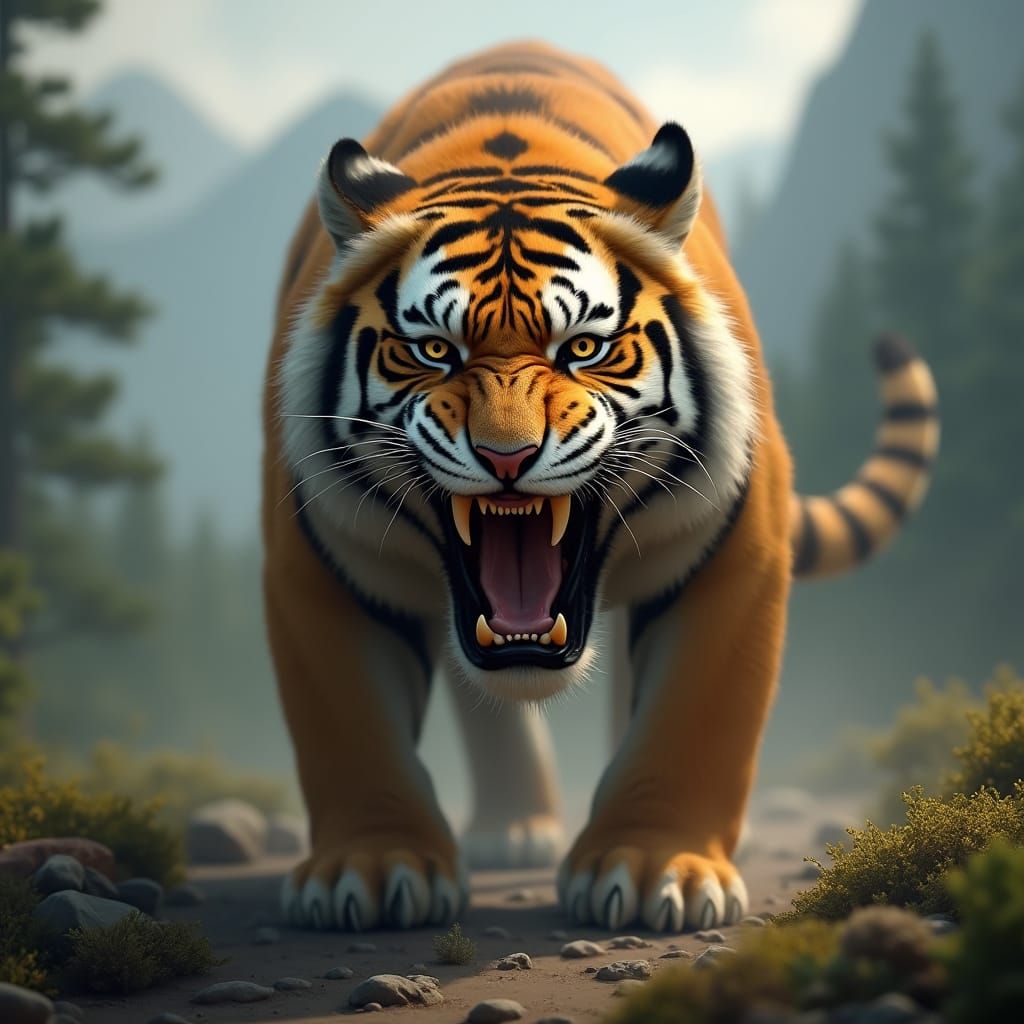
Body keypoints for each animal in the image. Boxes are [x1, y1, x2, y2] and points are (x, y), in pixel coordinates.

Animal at [262, 41, 938, 933]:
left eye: (583, 348)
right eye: (434, 351)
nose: (506, 455)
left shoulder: (737, 550)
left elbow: (693, 714)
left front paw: (656, 870)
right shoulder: (315, 564)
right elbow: (349, 727)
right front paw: (371, 871)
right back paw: (512, 830)